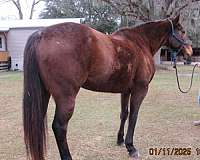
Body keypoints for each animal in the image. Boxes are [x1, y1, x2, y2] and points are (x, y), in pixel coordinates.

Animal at [23, 15, 192, 160]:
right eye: (183, 31)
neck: (141, 43)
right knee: (59, 127)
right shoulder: (140, 89)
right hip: (66, 98)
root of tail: (42, 34)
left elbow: (124, 114)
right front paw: (131, 147)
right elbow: (134, 116)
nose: (190, 51)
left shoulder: (126, 91)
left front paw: (120, 140)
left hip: (44, 94)